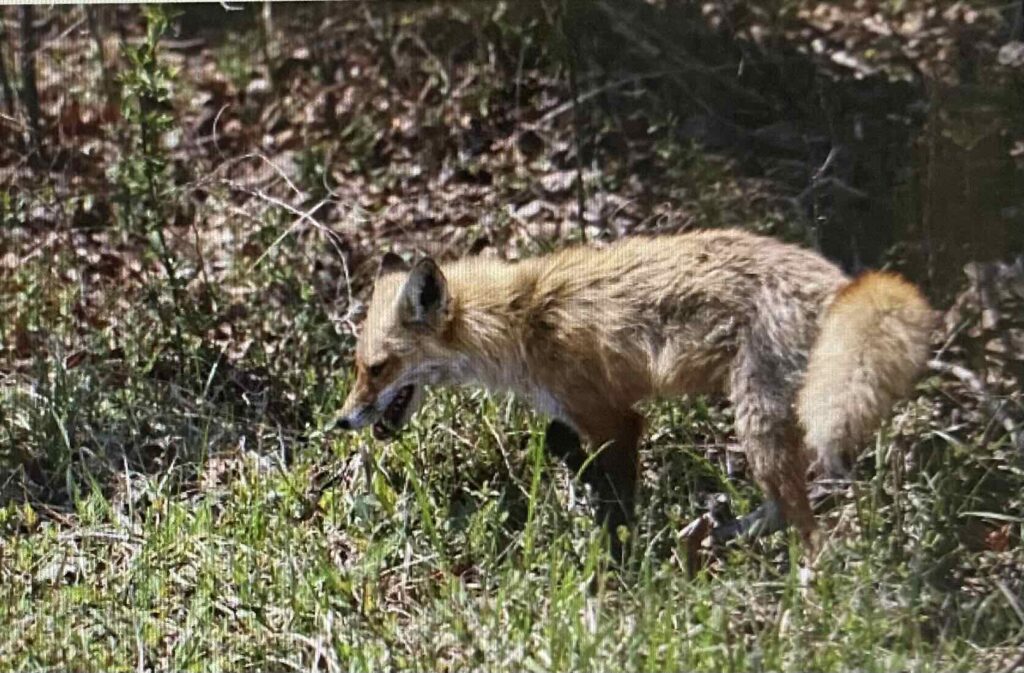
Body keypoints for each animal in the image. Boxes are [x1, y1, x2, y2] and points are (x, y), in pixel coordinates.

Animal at [334, 228, 935, 558]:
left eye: (378, 369)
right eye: (358, 368)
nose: (341, 422)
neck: (519, 321)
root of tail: (841, 282)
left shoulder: (613, 418)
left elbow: (618, 506)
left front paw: (618, 566)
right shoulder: (578, 411)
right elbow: (561, 443)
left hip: (756, 418)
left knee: (801, 519)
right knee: (784, 506)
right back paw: (714, 536)